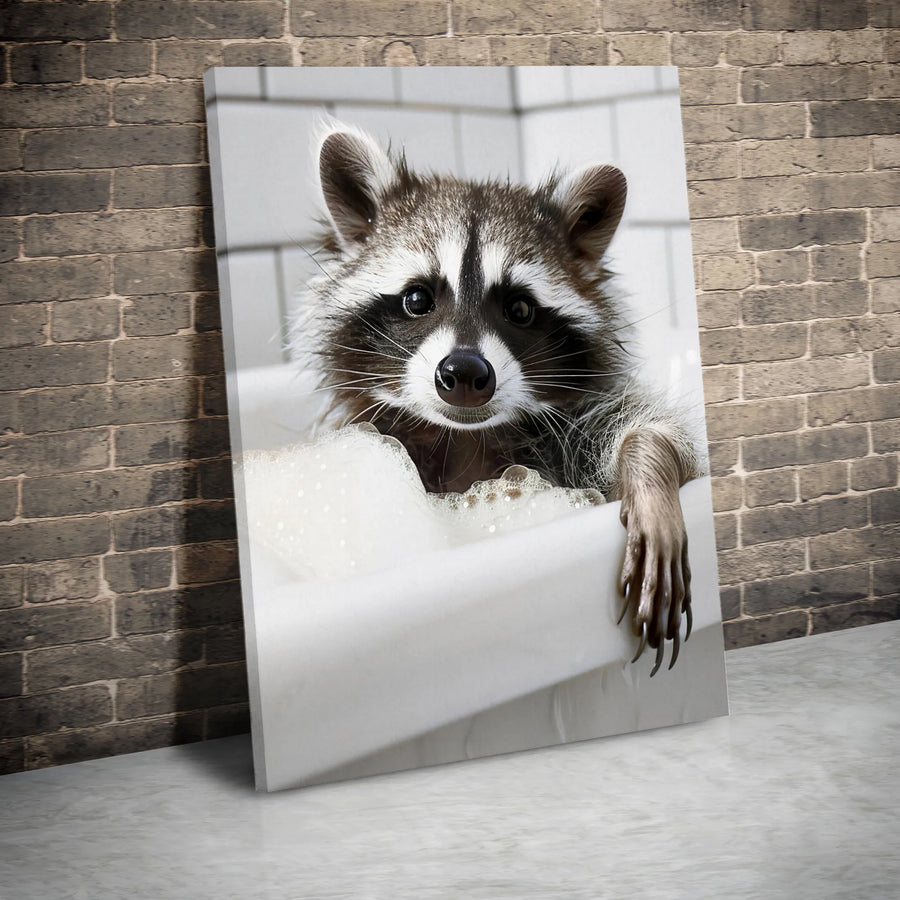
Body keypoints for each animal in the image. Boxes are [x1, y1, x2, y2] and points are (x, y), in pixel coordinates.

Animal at [293, 123, 704, 675]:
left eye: (520, 309)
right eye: (418, 299)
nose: (465, 372)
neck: (464, 438)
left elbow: (656, 438)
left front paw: (649, 466)